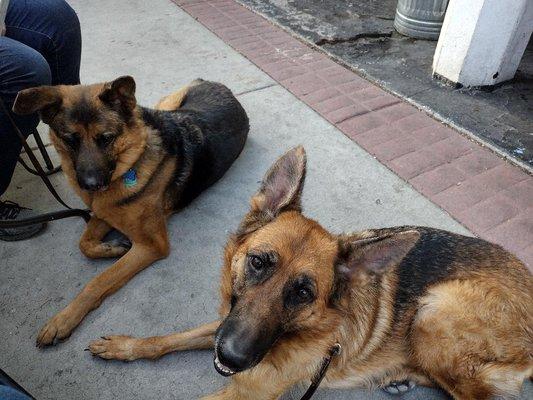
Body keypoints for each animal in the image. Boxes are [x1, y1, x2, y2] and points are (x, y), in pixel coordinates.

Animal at [11, 75, 249, 346]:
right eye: (70, 139)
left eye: (106, 138)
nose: (91, 185)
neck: (131, 161)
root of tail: (220, 86)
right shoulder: (104, 211)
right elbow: (84, 243)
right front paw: (111, 248)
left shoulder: (150, 245)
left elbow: (99, 280)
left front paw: (63, 320)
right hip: (165, 104)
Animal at [85, 148, 528, 400]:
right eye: (258, 262)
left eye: (303, 294)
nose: (232, 357)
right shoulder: (226, 325)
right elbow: (169, 338)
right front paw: (125, 346)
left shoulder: (246, 393)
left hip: (434, 310)